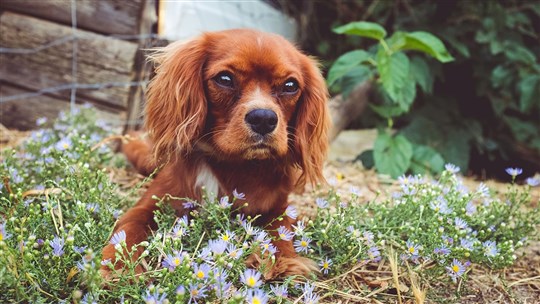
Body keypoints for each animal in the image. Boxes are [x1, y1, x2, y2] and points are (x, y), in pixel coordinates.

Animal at [100, 29, 330, 280]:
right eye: (225, 79)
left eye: (290, 85)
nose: (263, 118)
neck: (231, 165)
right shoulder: (152, 202)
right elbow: (130, 227)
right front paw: (118, 264)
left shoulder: (279, 206)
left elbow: (281, 228)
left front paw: (279, 259)